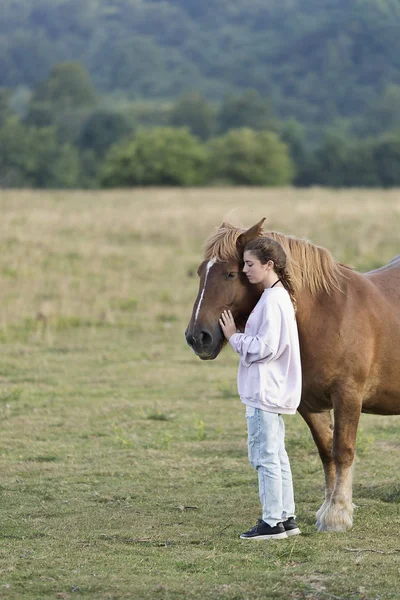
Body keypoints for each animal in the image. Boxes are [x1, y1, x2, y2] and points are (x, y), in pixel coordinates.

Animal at [184, 218, 400, 532]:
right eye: (201, 272)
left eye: (231, 273)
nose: (197, 337)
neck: (325, 315)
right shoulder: (308, 404)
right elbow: (326, 452)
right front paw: (327, 509)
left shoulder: (348, 396)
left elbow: (343, 450)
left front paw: (338, 514)